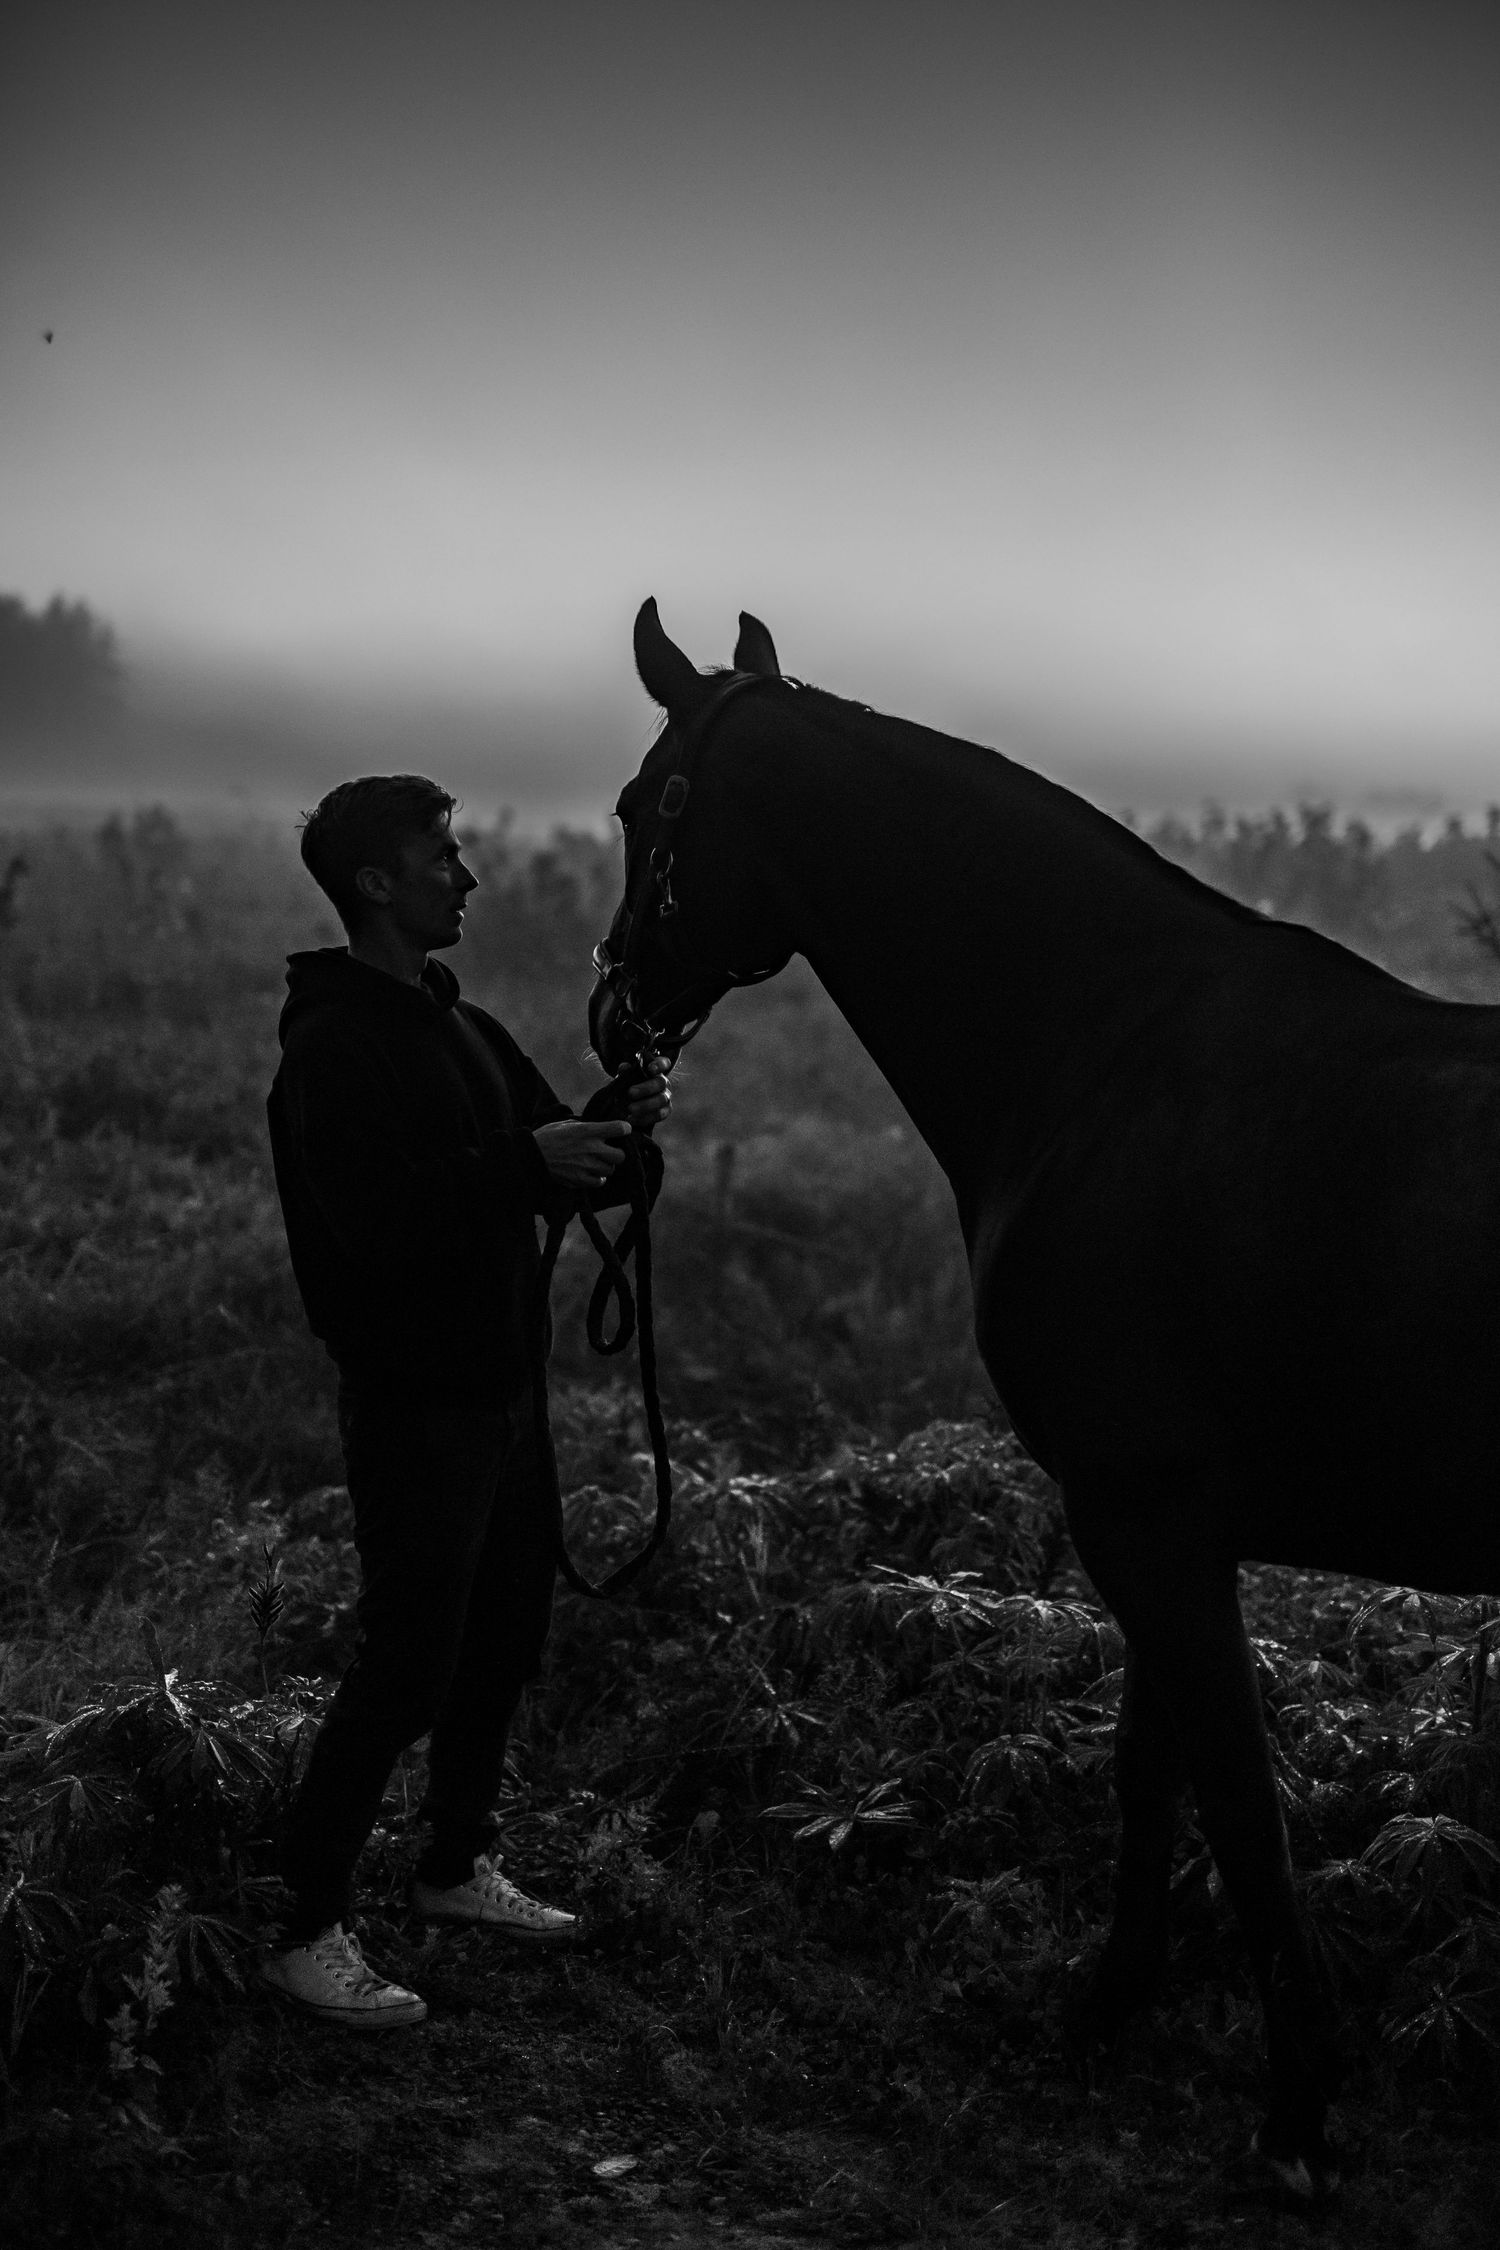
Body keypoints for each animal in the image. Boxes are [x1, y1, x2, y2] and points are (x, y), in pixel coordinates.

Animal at [588, 598, 1500, 2198]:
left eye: (646, 808)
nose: (608, 1009)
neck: (1102, 1053)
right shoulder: (1163, 1526)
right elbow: (1156, 1773)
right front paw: (1113, 2008)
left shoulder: (1143, 1518)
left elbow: (1238, 1800)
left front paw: (1297, 2112)